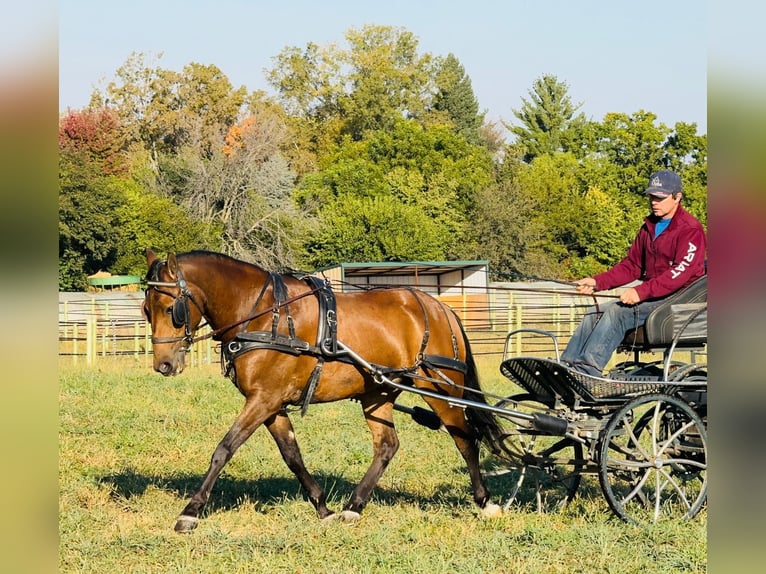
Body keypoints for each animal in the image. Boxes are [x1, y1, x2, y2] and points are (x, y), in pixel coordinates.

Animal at [143, 250, 508, 532]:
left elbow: (224, 449)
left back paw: (485, 502)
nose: (163, 364)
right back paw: (353, 506)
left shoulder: (263, 400)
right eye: (146, 310)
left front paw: (190, 511)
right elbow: (292, 456)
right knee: (387, 446)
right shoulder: (272, 404)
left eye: (171, 310)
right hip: (377, 394)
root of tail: (440, 308)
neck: (263, 315)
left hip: (439, 387)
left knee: (465, 439)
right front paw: (324, 508)